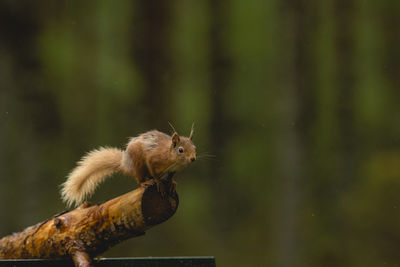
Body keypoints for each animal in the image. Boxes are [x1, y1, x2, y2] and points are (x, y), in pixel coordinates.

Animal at [60, 124, 196, 208]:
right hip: (138, 164)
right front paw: (159, 183)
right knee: (139, 179)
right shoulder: (153, 158)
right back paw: (145, 182)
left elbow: (171, 176)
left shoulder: (173, 169)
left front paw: (172, 183)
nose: (193, 159)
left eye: (195, 147)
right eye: (180, 150)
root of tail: (126, 165)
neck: (173, 160)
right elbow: (153, 170)